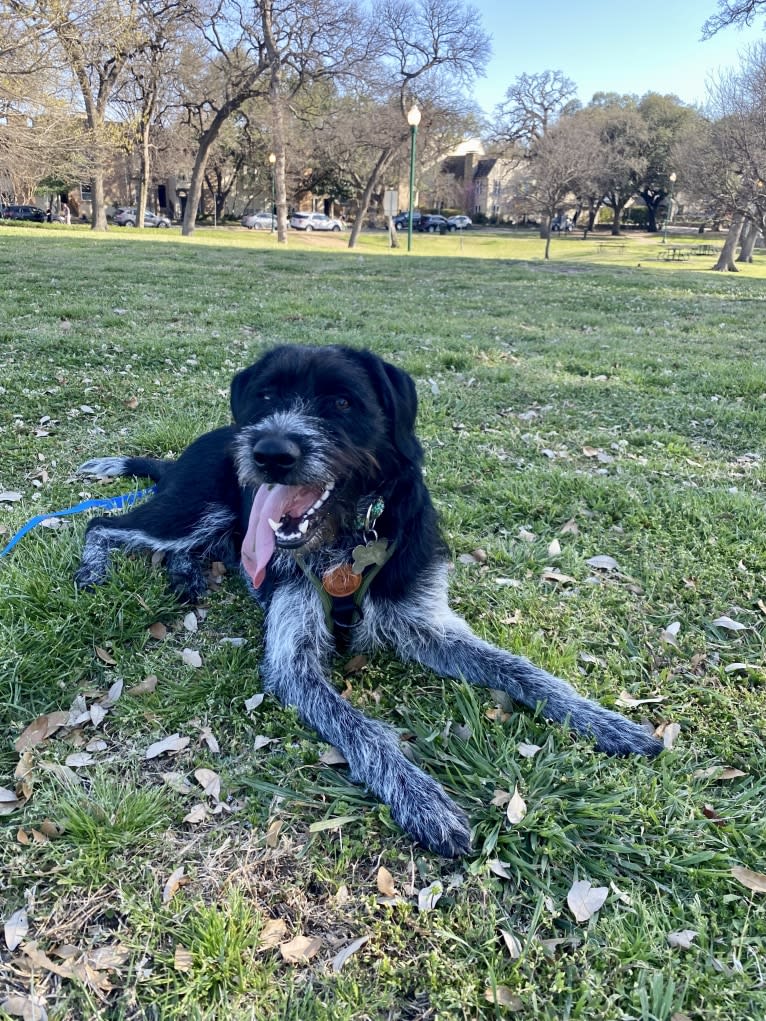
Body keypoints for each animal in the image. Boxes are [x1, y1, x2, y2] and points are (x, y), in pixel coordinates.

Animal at [79, 347, 665, 857]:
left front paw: (608, 723)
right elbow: (365, 731)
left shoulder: (425, 622)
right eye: (266, 396)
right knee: (102, 525)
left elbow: (523, 671)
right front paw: (423, 799)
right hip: (192, 510)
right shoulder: (294, 662)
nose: (269, 453)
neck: (347, 535)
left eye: (343, 402)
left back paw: (189, 577)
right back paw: (94, 572)